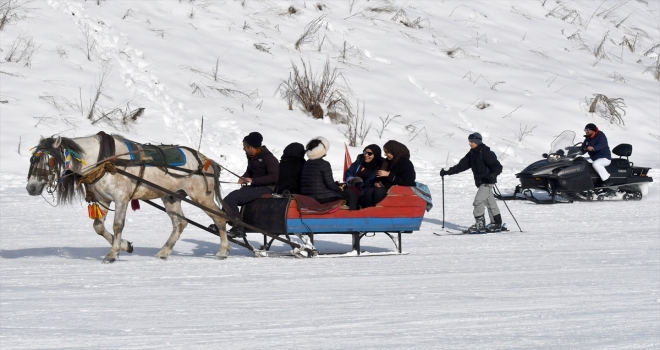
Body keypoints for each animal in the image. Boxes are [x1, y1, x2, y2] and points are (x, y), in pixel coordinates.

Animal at [25, 134, 231, 262]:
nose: (31, 187)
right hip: (171, 197)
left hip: (201, 196)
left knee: (220, 218)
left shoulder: (121, 198)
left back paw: (222, 251)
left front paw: (112, 254)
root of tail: (206, 160)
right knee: (179, 223)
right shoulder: (103, 199)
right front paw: (125, 246)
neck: (103, 160)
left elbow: (117, 225)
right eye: (33, 160)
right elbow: (98, 227)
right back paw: (164, 252)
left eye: (51, 161)